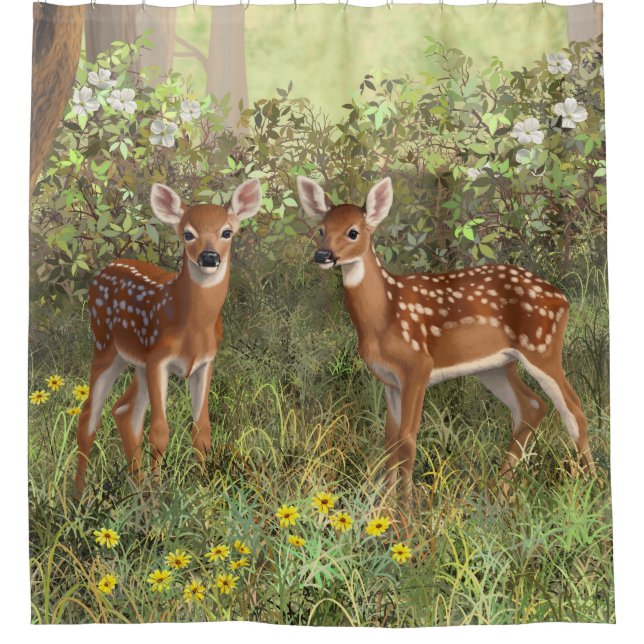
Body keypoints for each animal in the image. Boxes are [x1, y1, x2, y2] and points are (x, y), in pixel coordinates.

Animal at [72, 179, 262, 499]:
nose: (209, 257)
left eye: (227, 232)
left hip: (137, 362)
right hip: (104, 346)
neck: (192, 328)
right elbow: (160, 430)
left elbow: (202, 428)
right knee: (89, 415)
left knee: (125, 412)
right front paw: (160, 496)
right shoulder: (158, 359)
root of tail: (104, 269)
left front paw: (203, 489)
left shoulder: (204, 363)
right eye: (188, 234)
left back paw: (136, 491)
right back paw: (77, 497)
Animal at [296, 175, 596, 500]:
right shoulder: (389, 380)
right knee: (531, 406)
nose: (322, 255)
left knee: (574, 408)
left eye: (353, 232)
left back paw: (589, 486)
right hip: (495, 366)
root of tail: (563, 299)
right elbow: (389, 442)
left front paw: (406, 509)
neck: (384, 315)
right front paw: (384, 505)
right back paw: (499, 490)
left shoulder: (417, 366)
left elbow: (407, 440)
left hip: (542, 347)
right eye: (322, 230)